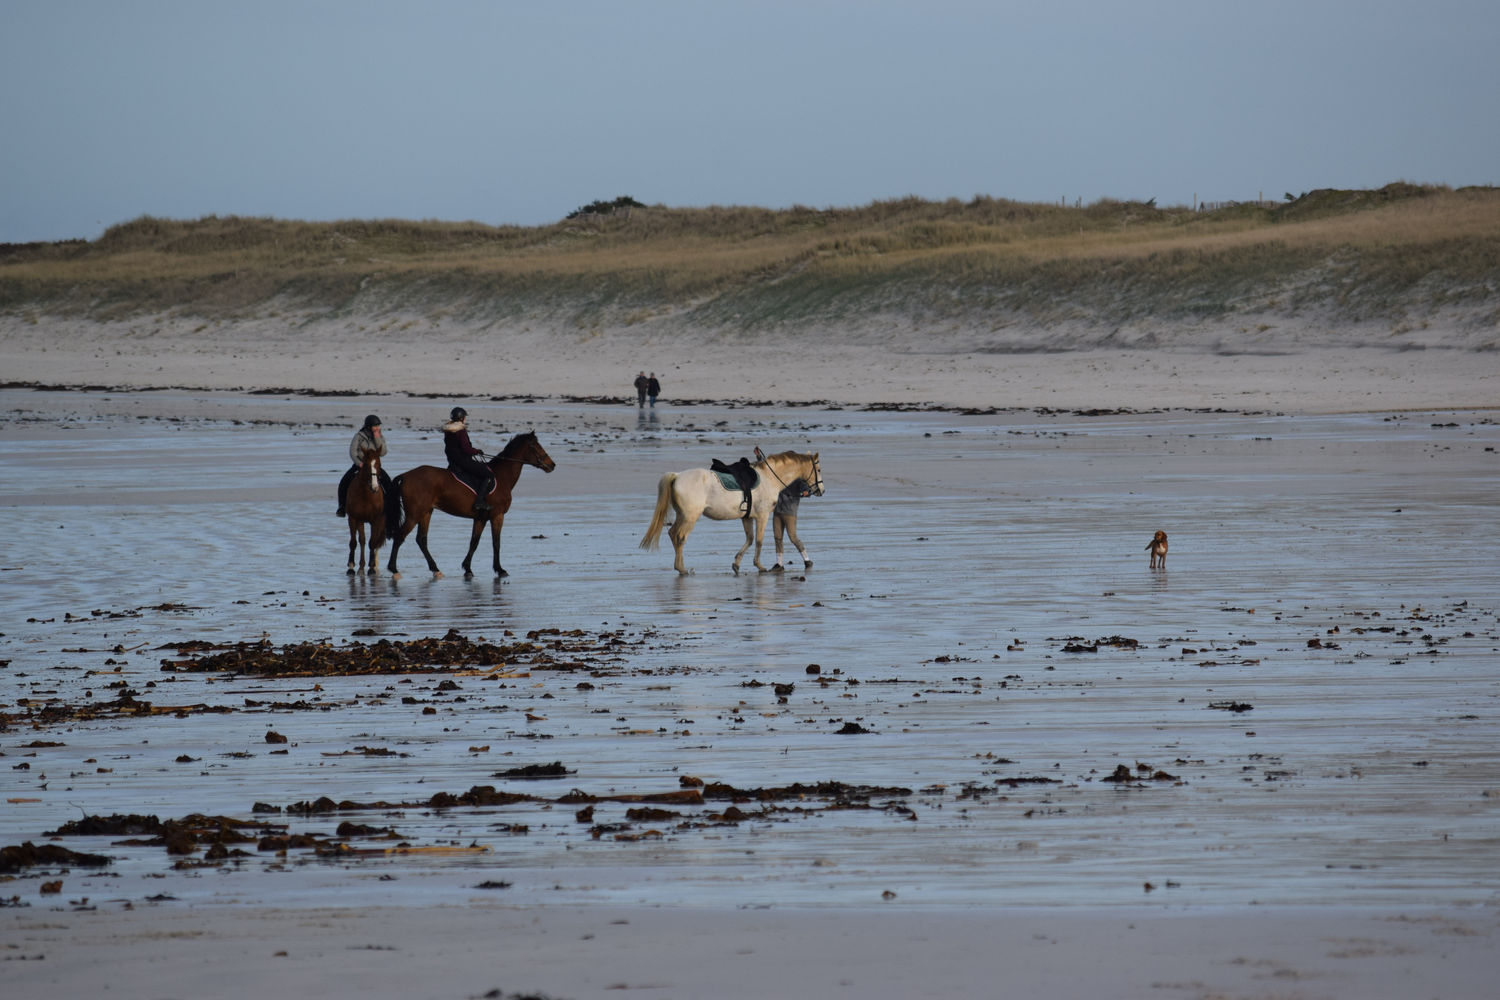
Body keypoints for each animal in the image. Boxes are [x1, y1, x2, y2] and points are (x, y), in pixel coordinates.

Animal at [343, 446, 384, 575]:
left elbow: (372, 542)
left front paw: (371, 567)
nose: (375, 487)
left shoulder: (375, 520)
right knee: (362, 541)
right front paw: (351, 566)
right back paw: (361, 566)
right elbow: (355, 542)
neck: (366, 495)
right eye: (366, 465)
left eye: (379, 464)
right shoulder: (354, 518)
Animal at [387, 428, 558, 578]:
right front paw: (500, 569)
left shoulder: (480, 518)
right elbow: (496, 543)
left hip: (426, 512)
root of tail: (406, 475)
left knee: (421, 540)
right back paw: (394, 570)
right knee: (400, 536)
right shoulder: (497, 515)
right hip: (414, 514)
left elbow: (474, 542)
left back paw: (435, 569)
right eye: (535, 446)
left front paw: (467, 569)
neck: (501, 476)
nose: (552, 465)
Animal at [633, 449, 822, 575]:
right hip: (690, 517)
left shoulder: (747, 517)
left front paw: (736, 564)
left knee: (673, 534)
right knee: (679, 536)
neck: (769, 478)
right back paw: (682, 568)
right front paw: (759, 566)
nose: (821, 490)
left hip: (683, 515)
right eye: (818, 469)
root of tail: (677, 476)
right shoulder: (762, 516)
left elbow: (750, 539)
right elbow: (759, 541)